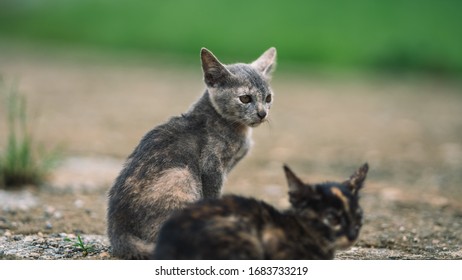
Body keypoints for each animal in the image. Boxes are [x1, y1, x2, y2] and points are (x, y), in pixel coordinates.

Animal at [106, 47, 276, 260]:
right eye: (245, 98)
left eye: (268, 98)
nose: (262, 113)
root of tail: (117, 232)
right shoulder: (212, 166)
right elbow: (212, 195)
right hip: (182, 175)